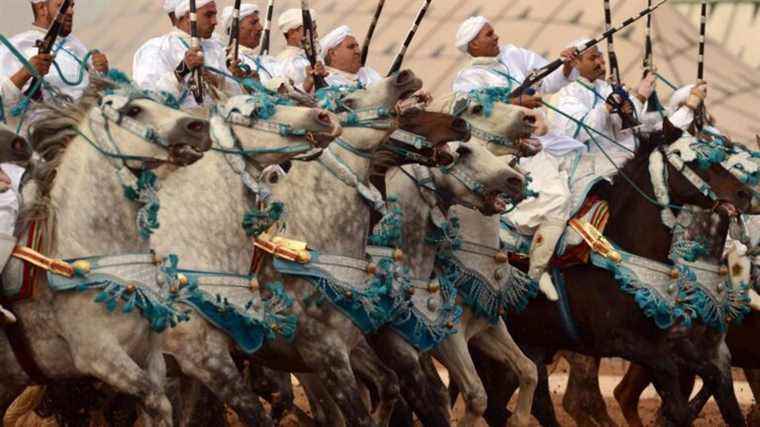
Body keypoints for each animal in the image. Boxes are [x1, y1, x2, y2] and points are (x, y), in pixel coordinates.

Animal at [0, 78, 212, 426]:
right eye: (134, 110)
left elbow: (157, 406)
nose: (199, 126)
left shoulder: (149, 353)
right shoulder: (99, 357)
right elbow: (158, 403)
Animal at [458, 126, 756, 427]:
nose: (745, 194)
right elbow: (675, 400)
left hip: (529, 346)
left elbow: (716, 388)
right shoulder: (624, 342)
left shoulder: (683, 343)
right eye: (698, 159)